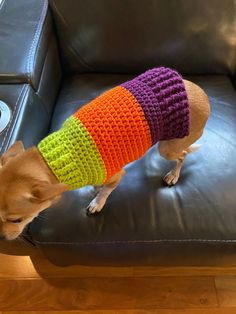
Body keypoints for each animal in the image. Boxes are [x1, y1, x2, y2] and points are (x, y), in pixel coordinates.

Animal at [0, 68, 210, 240]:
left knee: (183, 155)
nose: (2, 238)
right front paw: (95, 188)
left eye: (17, 220)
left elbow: (106, 191)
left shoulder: (116, 175)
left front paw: (97, 202)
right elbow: (98, 185)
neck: (53, 160)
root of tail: (204, 95)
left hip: (168, 149)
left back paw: (173, 175)